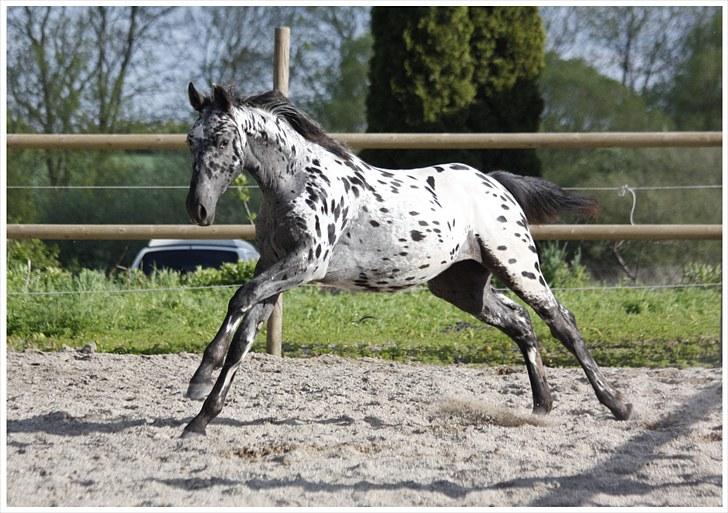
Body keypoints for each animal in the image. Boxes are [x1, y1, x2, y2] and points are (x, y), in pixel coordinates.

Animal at [181, 84, 632, 436]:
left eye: (222, 140)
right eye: (190, 140)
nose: (197, 209)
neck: (298, 181)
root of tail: (495, 184)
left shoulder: (306, 263)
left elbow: (240, 298)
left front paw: (199, 380)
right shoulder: (276, 267)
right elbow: (244, 338)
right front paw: (200, 419)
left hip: (518, 266)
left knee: (562, 322)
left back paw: (617, 404)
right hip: (461, 286)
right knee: (520, 323)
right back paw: (541, 406)